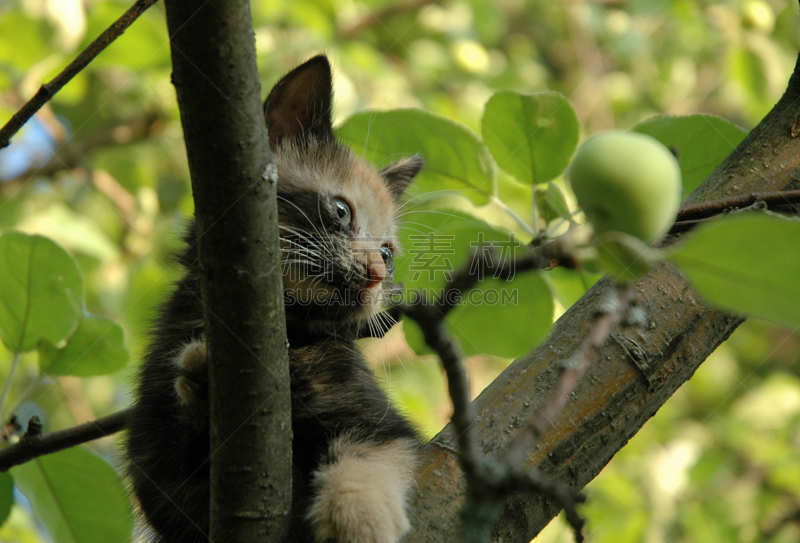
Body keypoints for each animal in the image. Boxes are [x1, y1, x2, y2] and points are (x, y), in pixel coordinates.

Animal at [123, 56, 424, 543]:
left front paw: (360, 516)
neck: (288, 335)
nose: (376, 276)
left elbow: (371, 455)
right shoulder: (155, 463)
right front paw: (200, 378)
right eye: (341, 211)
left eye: (386, 255)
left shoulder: (376, 420)